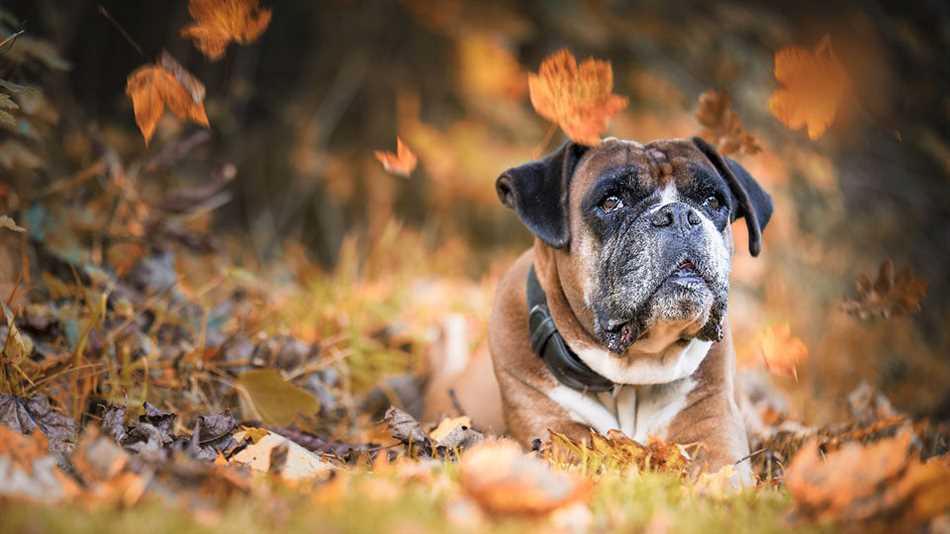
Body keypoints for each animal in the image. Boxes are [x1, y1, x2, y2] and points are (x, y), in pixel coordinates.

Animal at [424, 137, 772, 482]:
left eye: (713, 201)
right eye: (611, 202)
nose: (679, 215)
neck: (634, 372)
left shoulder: (713, 427)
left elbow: (720, 473)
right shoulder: (554, 430)